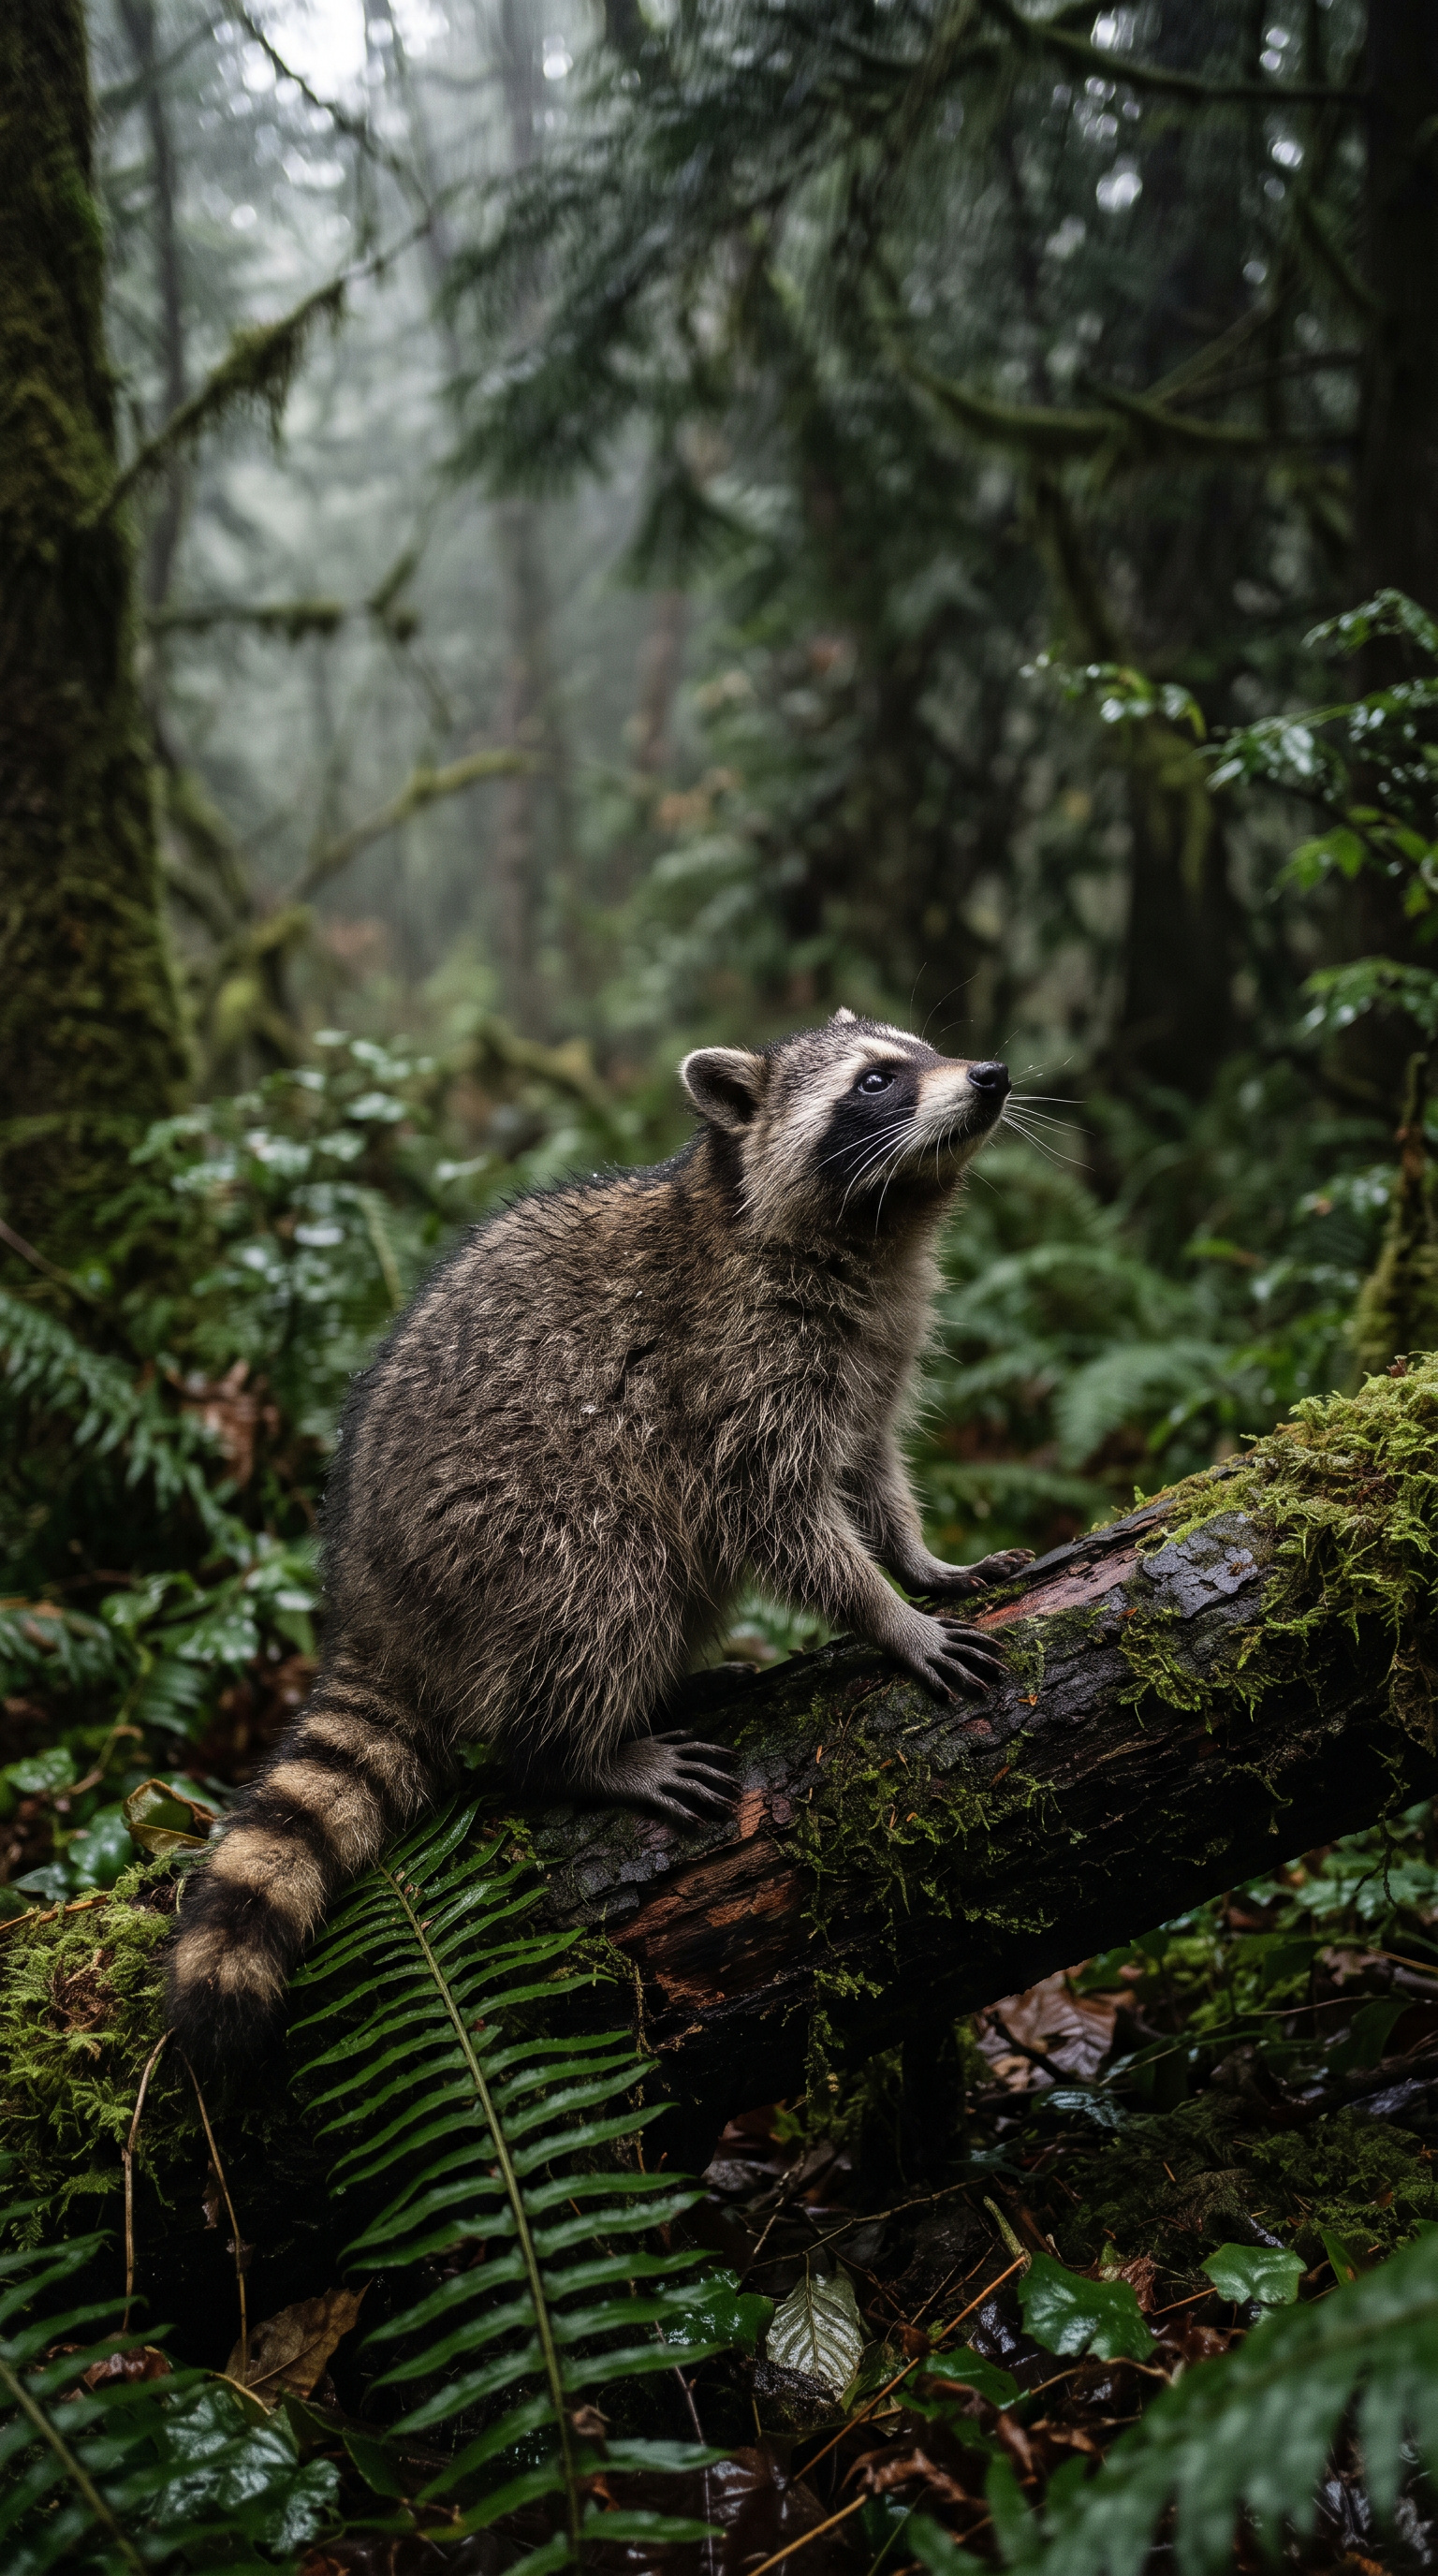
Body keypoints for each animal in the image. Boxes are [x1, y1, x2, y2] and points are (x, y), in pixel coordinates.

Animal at [167, 1011, 1027, 2065]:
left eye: (926, 1049)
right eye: (876, 1080)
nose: (990, 1074)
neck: (876, 1226)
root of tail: (370, 1602)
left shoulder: (872, 1356)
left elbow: (871, 1473)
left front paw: (919, 1561)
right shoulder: (733, 1364)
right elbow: (776, 1517)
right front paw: (888, 1618)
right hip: (513, 1522)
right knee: (607, 1585)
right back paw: (578, 1751)